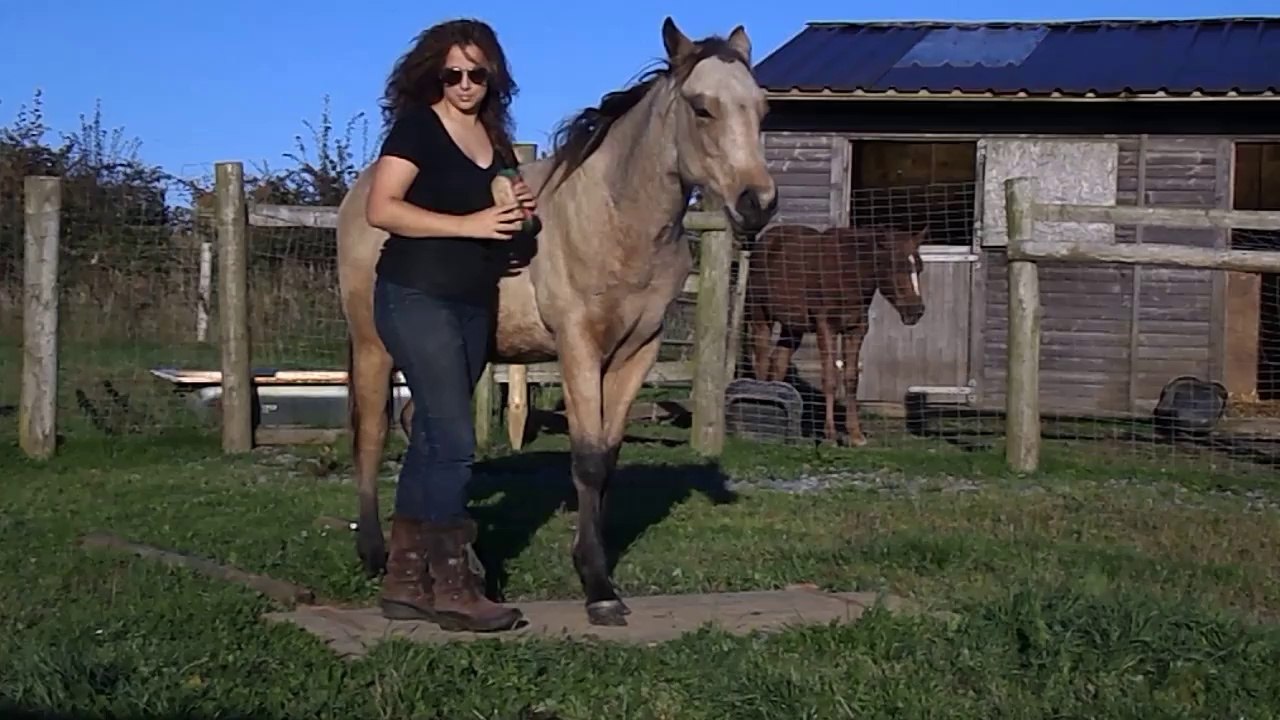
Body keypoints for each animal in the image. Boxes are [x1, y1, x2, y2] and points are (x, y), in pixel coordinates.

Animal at [335, 17, 777, 627]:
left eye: (761, 109)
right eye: (702, 108)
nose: (758, 203)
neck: (614, 216)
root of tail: (358, 195)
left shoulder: (637, 352)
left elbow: (607, 457)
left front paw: (598, 569)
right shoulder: (579, 347)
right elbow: (587, 459)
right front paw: (597, 588)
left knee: (423, 433)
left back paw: (466, 567)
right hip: (375, 345)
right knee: (374, 435)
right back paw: (377, 557)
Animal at [744, 223, 927, 447]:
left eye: (919, 268)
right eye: (896, 267)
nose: (916, 311)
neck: (847, 274)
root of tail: (764, 241)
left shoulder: (856, 331)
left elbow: (851, 379)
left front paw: (855, 435)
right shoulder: (826, 328)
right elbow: (830, 378)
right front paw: (829, 435)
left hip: (792, 328)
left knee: (778, 362)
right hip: (761, 317)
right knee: (761, 360)